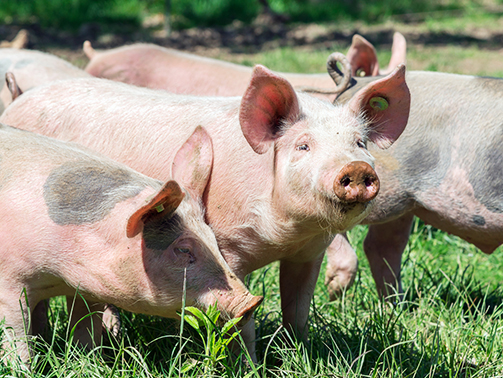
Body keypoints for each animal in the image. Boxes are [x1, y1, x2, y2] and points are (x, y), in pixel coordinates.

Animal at [0, 122, 262, 362]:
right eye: (183, 249)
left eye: (213, 239)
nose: (251, 301)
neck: (60, 275)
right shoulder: (10, 282)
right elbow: (16, 336)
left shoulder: (87, 290)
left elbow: (85, 330)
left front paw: (87, 359)